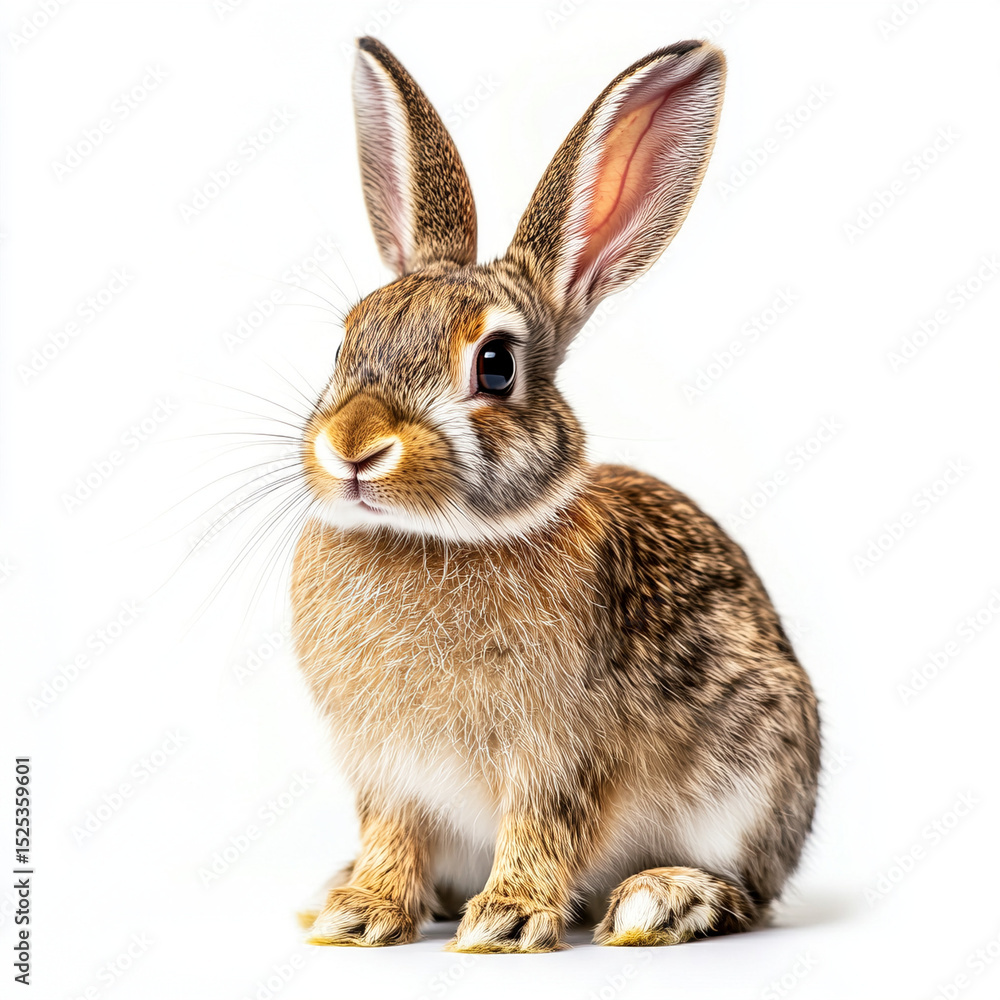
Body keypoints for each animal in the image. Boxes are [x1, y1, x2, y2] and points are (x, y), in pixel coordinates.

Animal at [290, 36, 820, 953]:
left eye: (496, 365)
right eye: (345, 341)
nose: (353, 447)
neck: (439, 538)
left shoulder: (563, 754)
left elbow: (546, 828)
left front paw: (504, 921)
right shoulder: (388, 772)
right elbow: (392, 835)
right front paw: (360, 911)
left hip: (755, 779)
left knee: (749, 893)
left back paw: (665, 898)